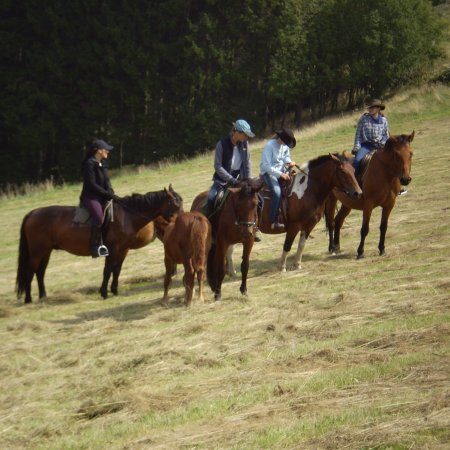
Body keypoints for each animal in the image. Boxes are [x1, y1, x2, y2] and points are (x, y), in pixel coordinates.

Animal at [16, 185, 183, 303]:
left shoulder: (123, 249)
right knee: (30, 271)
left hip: (46, 251)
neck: (127, 216)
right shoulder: (113, 249)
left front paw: (114, 290)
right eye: (175, 204)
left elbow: (117, 269)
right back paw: (28, 299)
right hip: (37, 251)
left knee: (40, 272)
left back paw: (43, 296)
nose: (181, 220)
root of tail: (33, 213)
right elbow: (108, 270)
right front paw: (104, 292)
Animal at [226, 153, 362, 273]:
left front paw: (297, 264)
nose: (358, 193)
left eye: (353, 169)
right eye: (342, 172)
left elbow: (302, 244)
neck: (308, 190)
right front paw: (282, 266)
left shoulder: (309, 225)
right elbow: (287, 245)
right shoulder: (294, 226)